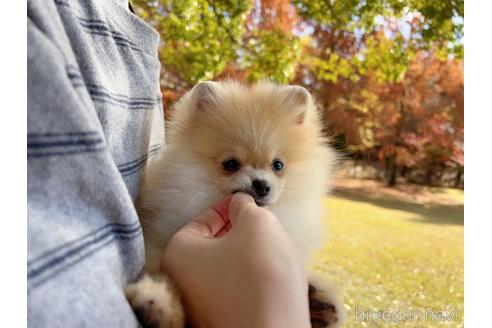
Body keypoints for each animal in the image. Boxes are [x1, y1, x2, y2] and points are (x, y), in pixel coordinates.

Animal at [125, 80, 344, 328]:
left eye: (278, 165)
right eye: (230, 164)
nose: (261, 185)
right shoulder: (157, 242)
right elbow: (163, 272)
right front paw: (160, 304)